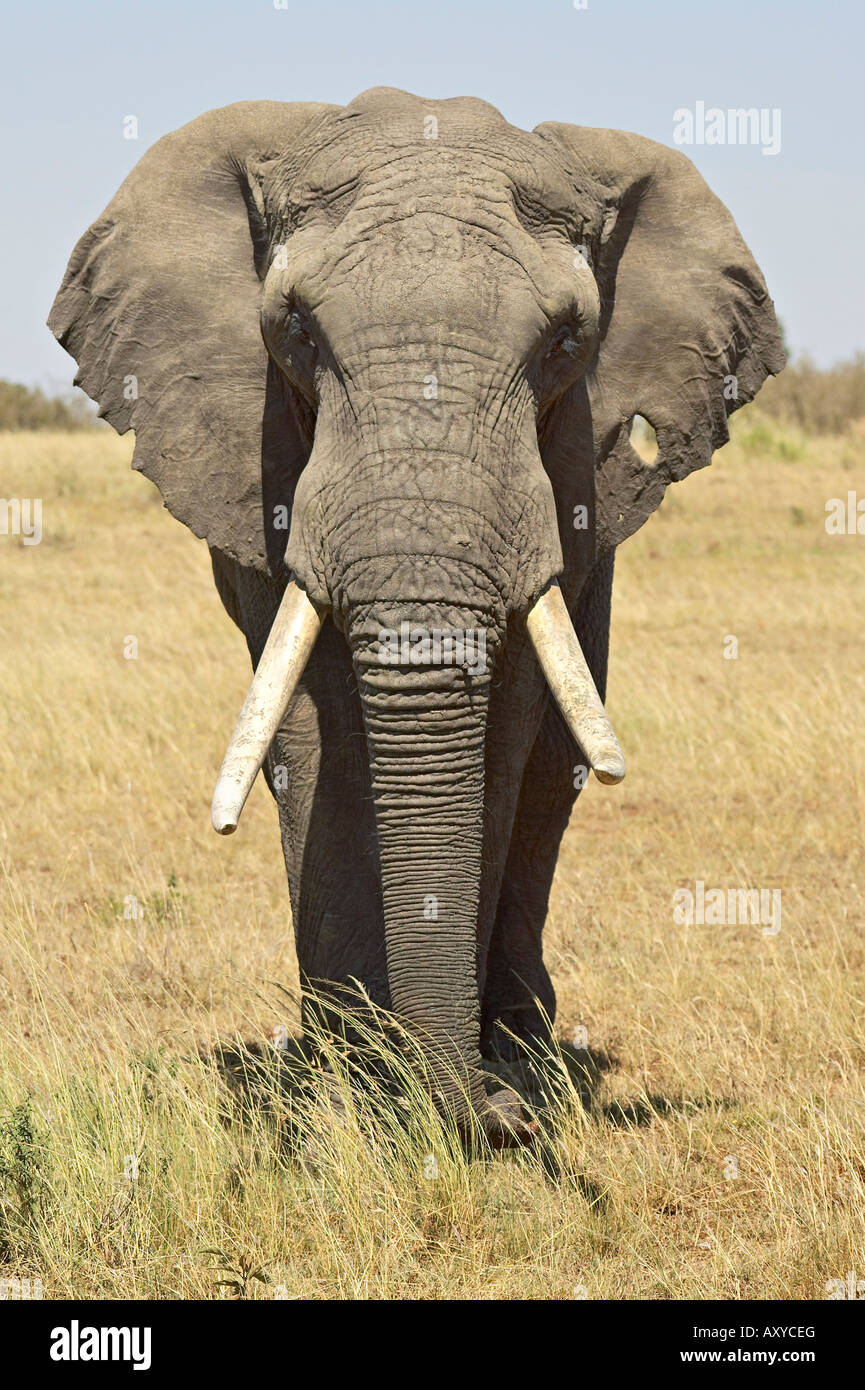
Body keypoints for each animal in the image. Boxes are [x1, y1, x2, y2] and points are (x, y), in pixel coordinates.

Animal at [50, 89, 789, 1150]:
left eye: (565, 341)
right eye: (294, 329)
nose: (499, 1122)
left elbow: (505, 729)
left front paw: (460, 1093)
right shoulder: (266, 464)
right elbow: (309, 730)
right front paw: (349, 1098)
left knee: (555, 769)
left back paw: (522, 1053)